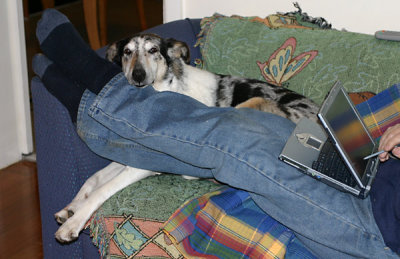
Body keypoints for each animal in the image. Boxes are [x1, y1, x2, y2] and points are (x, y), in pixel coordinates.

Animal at [54, 33, 318, 244]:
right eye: (127, 52)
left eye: (153, 51)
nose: (138, 75)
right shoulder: (131, 155)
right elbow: (94, 178)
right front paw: (71, 207)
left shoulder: (144, 165)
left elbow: (102, 190)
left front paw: (73, 223)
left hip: (249, 105)